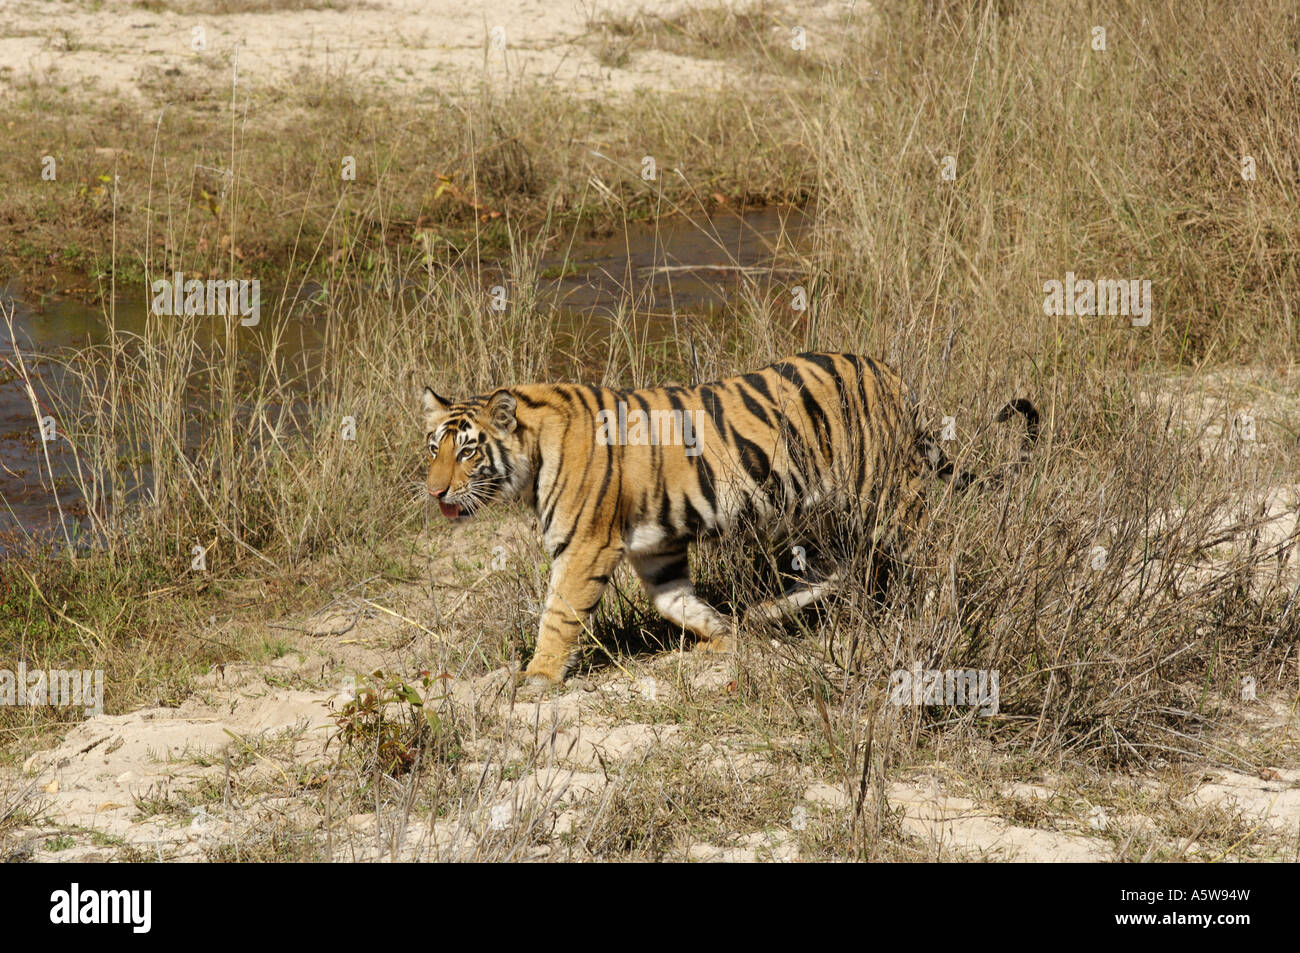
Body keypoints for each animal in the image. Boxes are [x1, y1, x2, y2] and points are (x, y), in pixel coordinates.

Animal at [421, 348, 1040, 686]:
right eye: (434, 447)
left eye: (468, 451)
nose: (433, 492)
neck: (532, 454)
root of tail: (891, 376)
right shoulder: (655, 545)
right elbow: (674, 601)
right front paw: (722, 637)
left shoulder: (586, 545)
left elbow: (559, 613)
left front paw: (538, 677)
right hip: (816, 510)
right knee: (841, 569)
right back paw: (763, 615)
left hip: (883, 495)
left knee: (936, 550)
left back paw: (939, 612)